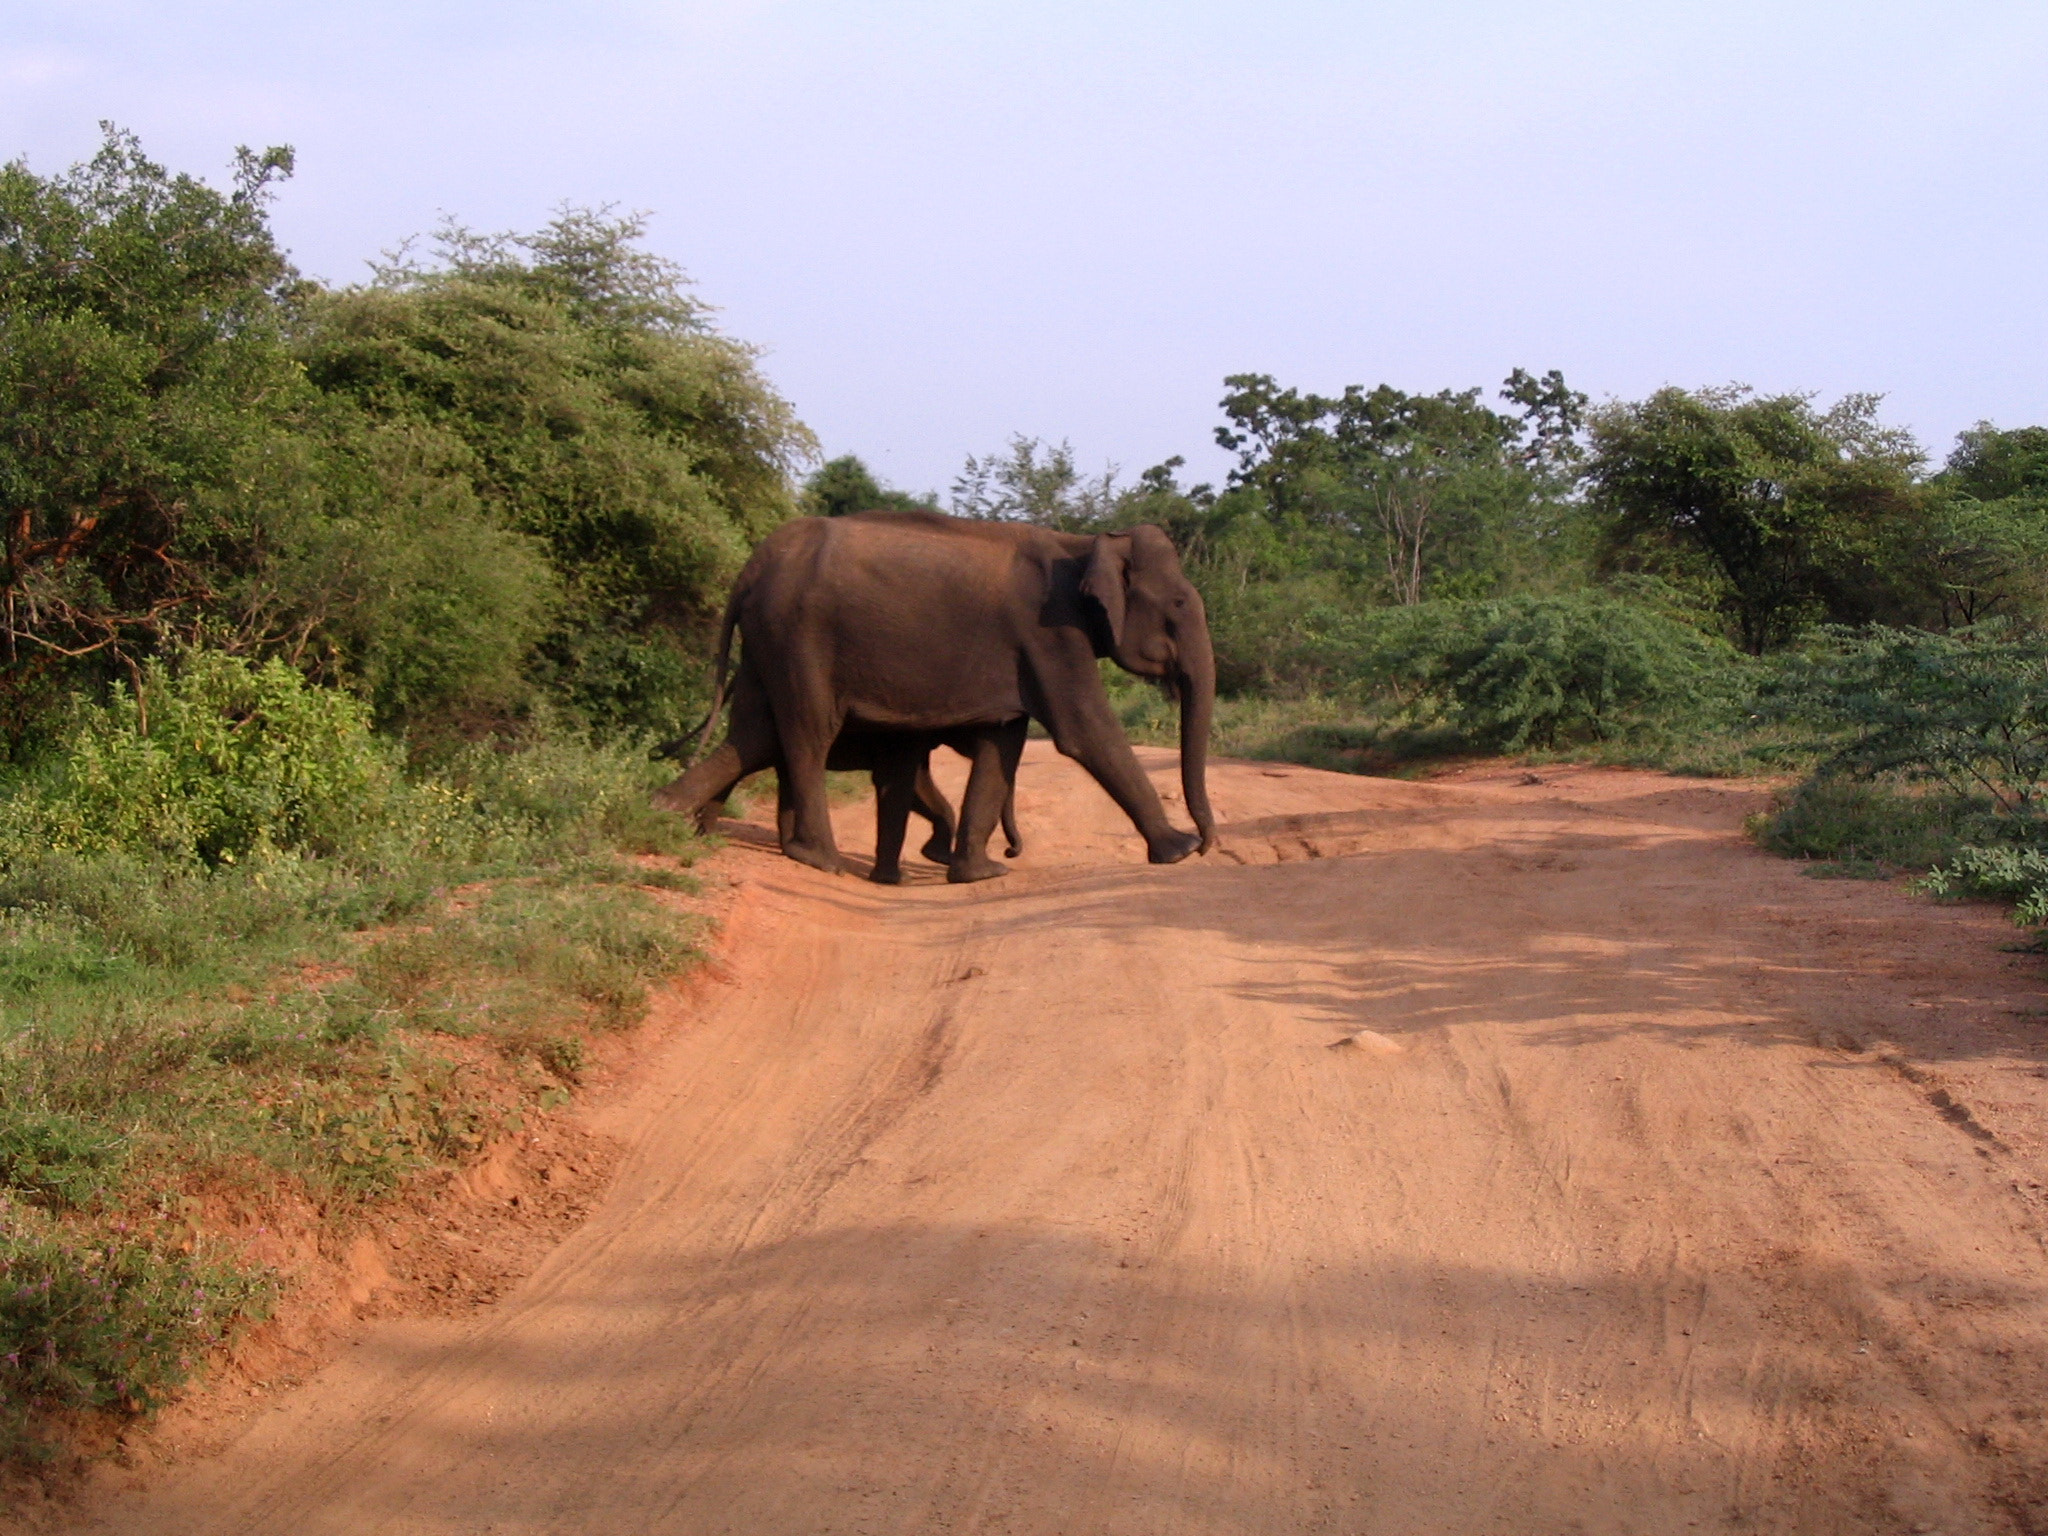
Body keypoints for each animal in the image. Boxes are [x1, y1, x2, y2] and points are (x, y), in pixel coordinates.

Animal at [655, 509, 1214, 881]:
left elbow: (1002, 741)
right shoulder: (1050, 632)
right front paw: (1178, 851)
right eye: (1179, 604)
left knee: (754, 734)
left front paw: (978, 873)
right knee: (807, 732)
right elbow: (1085, 730)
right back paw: (821, 860)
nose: (1210, 844)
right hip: (798, 633)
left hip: (766, 638)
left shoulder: (1029, 646)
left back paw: (667, 813)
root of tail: (750, 568)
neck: (1082, 544)